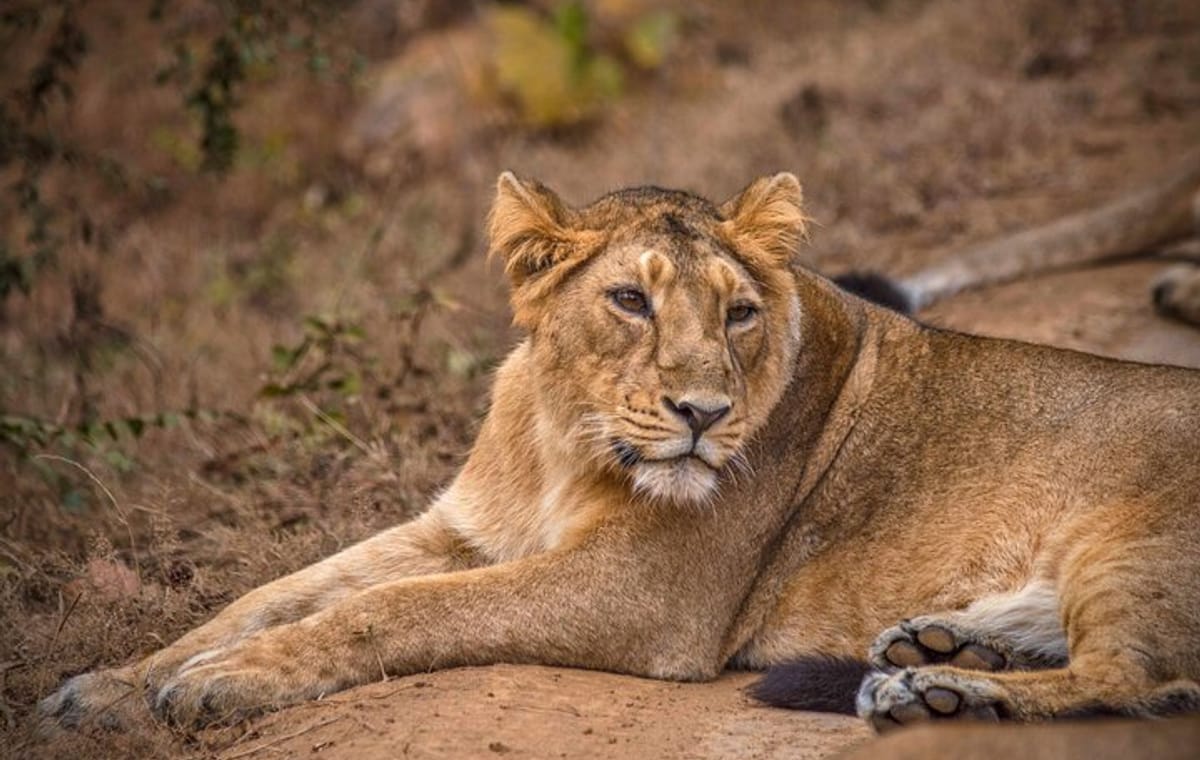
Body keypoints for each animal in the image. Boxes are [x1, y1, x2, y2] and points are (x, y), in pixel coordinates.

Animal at [39, 171, 1200, 739]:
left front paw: (222, 685)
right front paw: (110, 686)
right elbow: (272, 594)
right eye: (630, 299)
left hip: (1132, 543)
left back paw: (938, 695)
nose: (701, 413)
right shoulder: (462, 529)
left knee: (1134, 677)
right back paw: (938, 651)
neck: (565, 434)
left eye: (738, 312)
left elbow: (393, 611)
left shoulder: (642, 589)